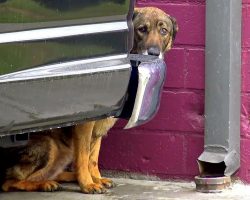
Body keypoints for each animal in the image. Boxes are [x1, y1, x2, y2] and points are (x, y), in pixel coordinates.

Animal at [0, 6, 179, 194]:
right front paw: (88, 184)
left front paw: (96, 178)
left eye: (163, 31)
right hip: (52, 146)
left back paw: (65, 178)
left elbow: (93, 158)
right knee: (11, 182)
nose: (154, 53)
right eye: (142, 29)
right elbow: (84, 157)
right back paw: (46, 184)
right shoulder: (85, 125)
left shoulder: (99, 126)